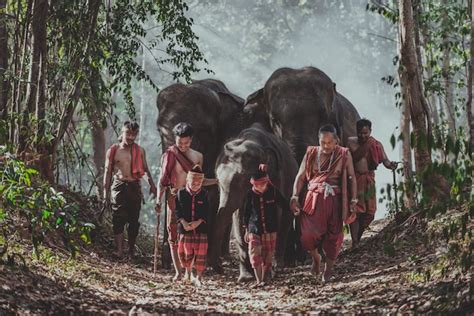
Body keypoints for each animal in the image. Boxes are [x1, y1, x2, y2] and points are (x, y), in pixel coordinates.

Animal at [214, 123, 296, 282]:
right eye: (218, 182)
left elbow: (274, 215)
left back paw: (278, 265)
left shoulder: (277, 177)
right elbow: (238, 218)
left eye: (242, 180)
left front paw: (266, 273)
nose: (220, 269)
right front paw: (245, 277)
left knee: (284, 222)